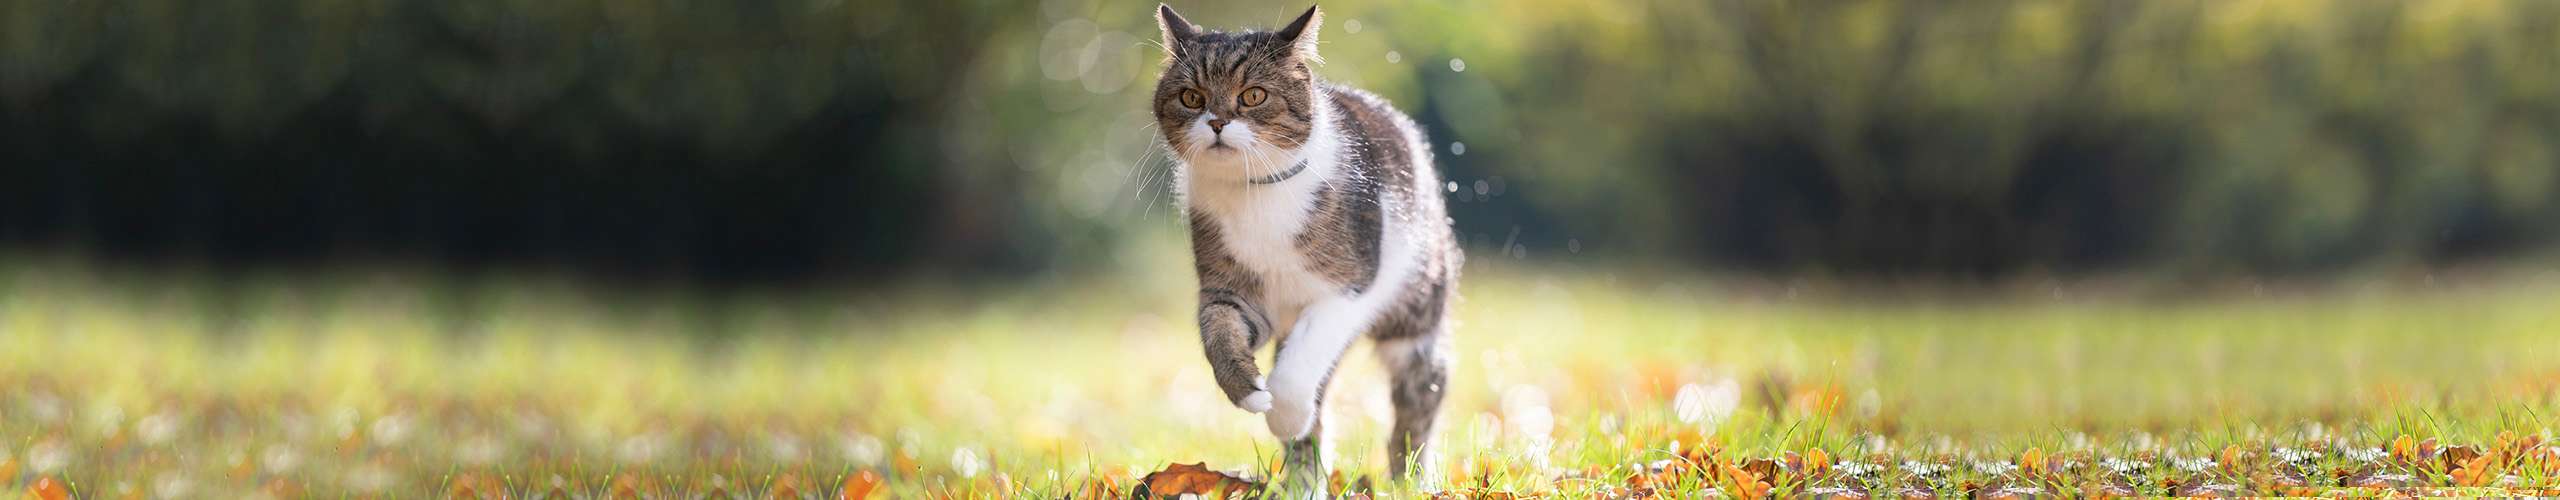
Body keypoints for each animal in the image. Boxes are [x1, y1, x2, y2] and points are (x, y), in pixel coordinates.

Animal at [1146, 1, 1454, 489]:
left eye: (1253, 95)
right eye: (1191, 97)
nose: (1216, 121)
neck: (1255, 194)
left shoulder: (1350, 287)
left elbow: (1296, 370)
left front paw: (1286, 416)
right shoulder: (1231, 291)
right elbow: (1218, 332)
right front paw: (1250, 391)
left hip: (1416, 307)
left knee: (1420, 394)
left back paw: (1411, 478)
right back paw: (1306, 484)